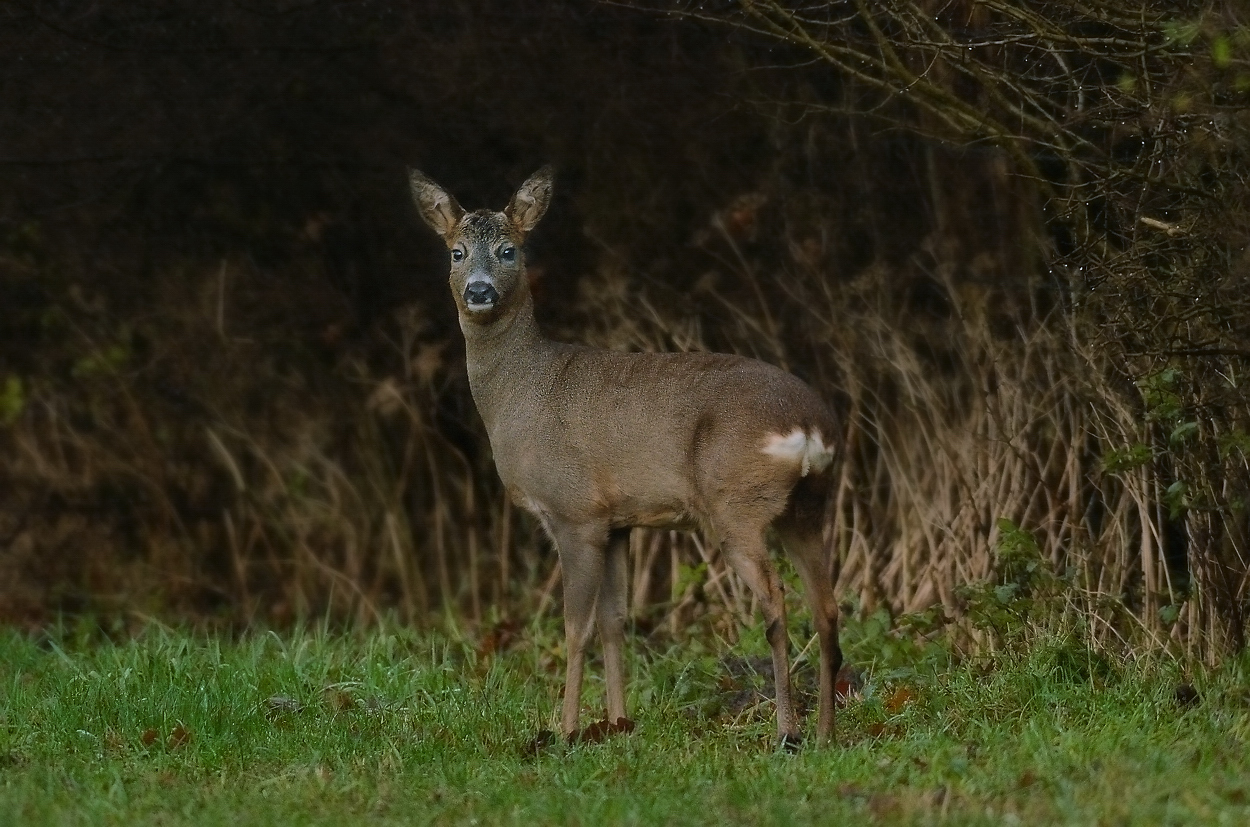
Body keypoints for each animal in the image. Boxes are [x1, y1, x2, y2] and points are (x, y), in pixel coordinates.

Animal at [407, 168, 840, 749]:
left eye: (508, 250)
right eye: (456, 252)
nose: (479, 291)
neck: (521, 393)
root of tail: (810, 425)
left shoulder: (574, 511)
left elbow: (576, 627)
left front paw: (565, 732)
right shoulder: (618, 521)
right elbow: (615, 620)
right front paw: (616, 724)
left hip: (736, 503)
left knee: (777, 602)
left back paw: (786, 733)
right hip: (807, 507)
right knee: (826, 605)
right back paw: (825, 735)